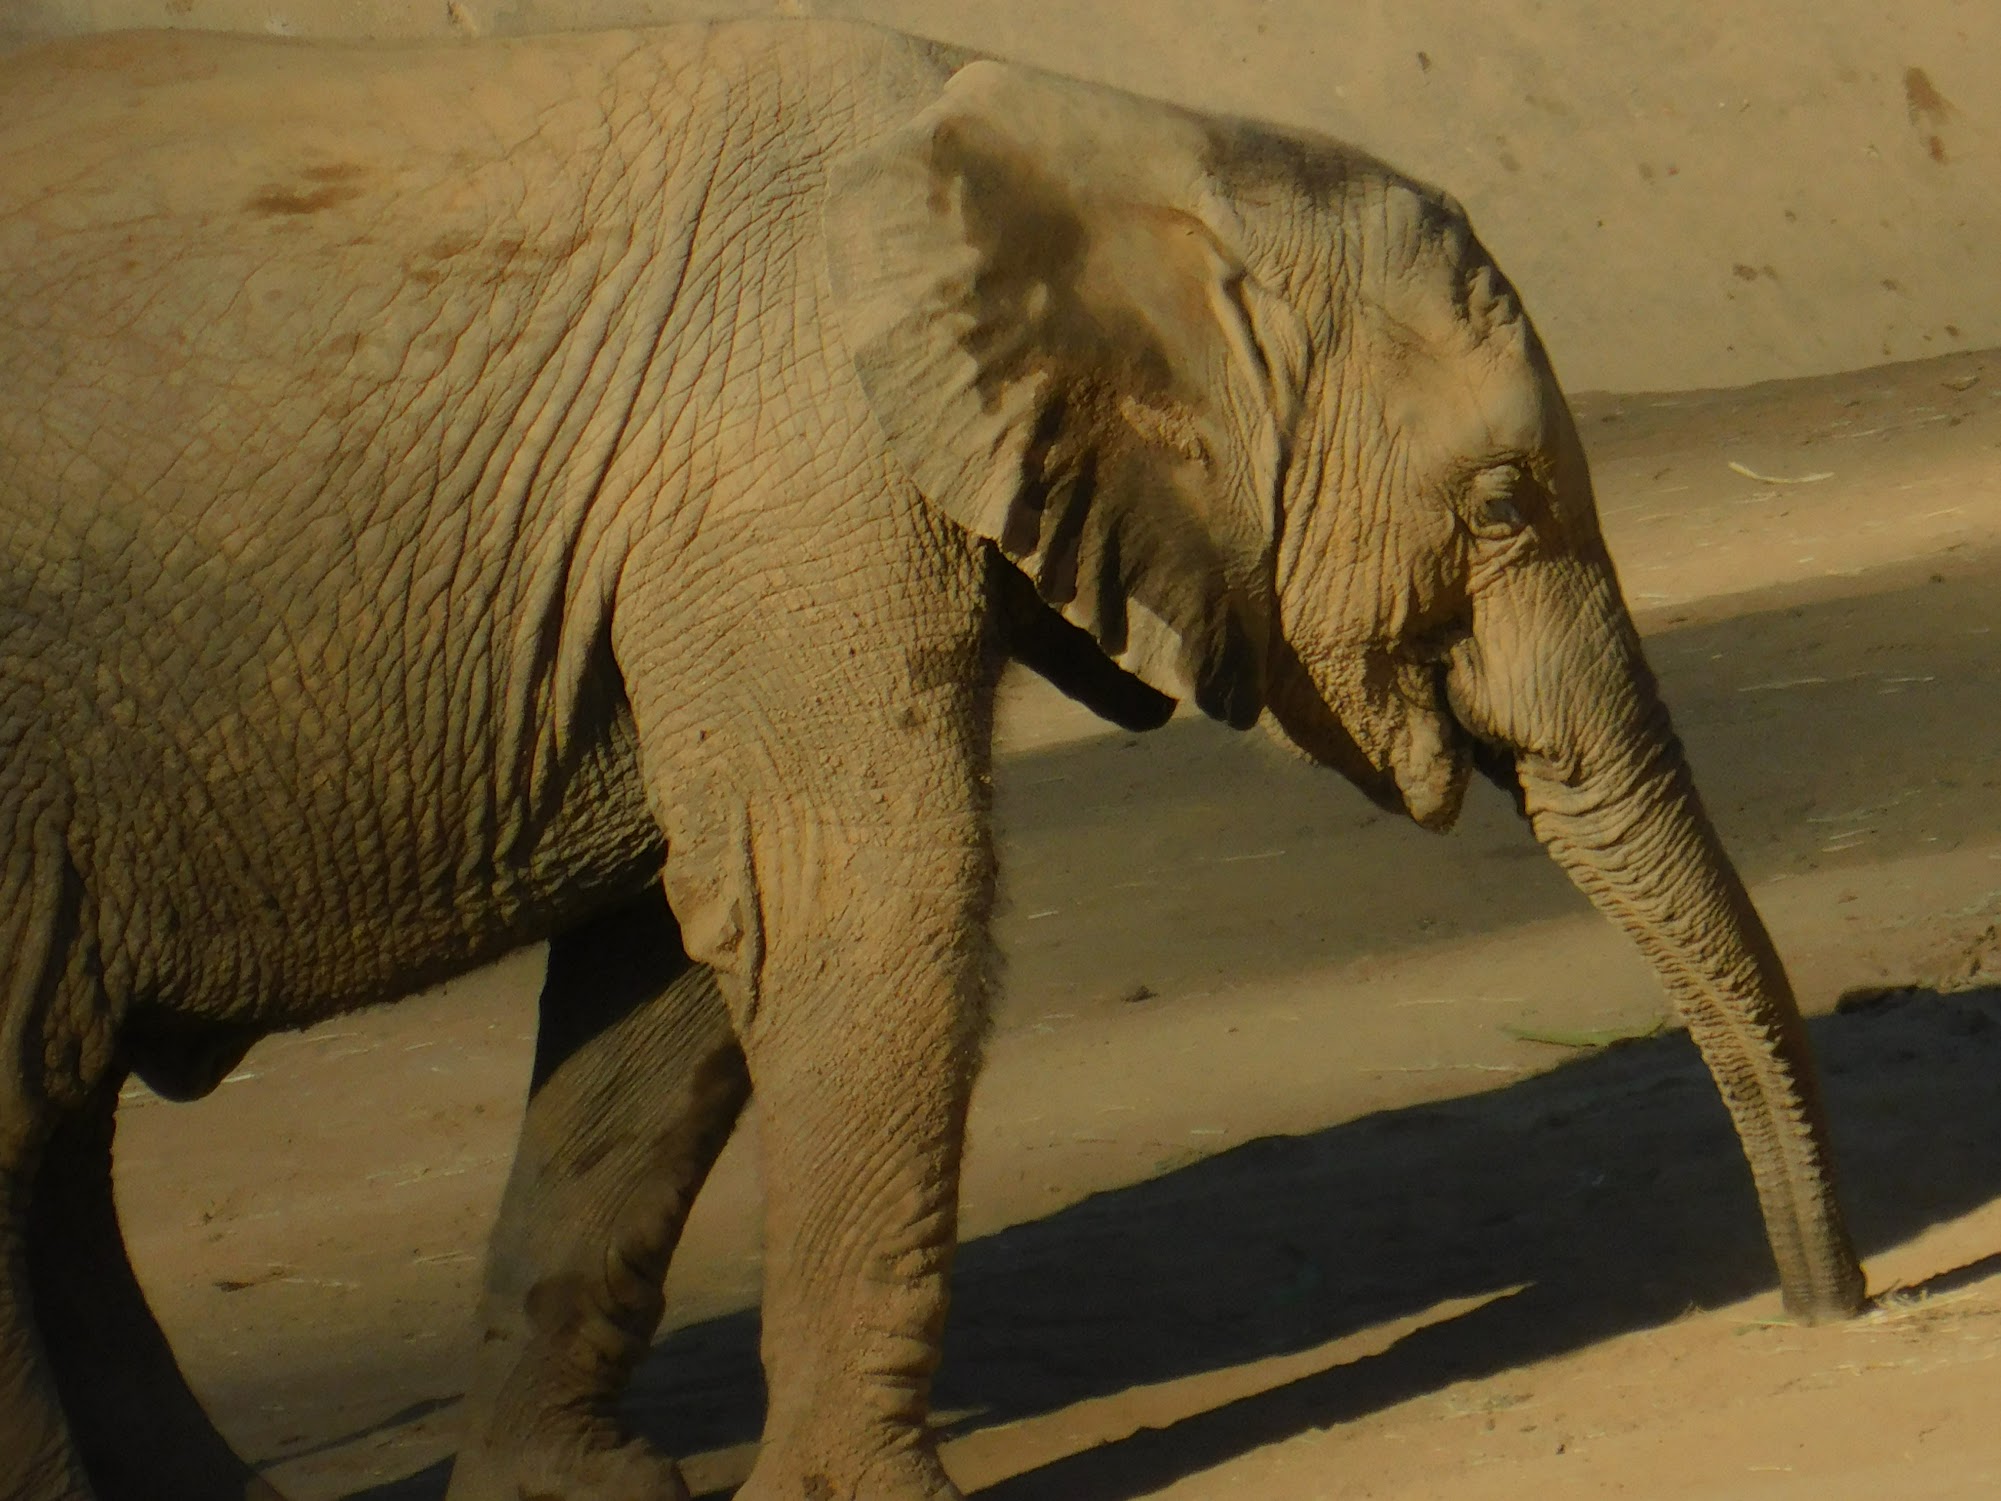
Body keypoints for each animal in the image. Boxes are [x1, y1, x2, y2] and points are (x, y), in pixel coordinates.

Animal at [0, 16, 1868, 1501]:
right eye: (1498, 505)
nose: (1836, 1308)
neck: (1094, 126)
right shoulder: (789, 471)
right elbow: (855, 891)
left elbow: (674, 957)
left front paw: (576, 1496)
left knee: (52, 1128)